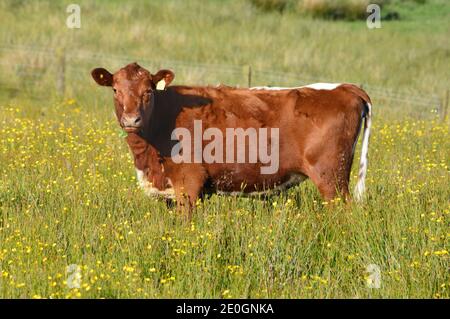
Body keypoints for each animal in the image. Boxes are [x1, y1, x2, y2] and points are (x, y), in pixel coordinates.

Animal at [91, 62, 372, 216]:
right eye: (115, 89)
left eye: (148, 91)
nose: (131, 120)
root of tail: (344, 87)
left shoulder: (188, 184)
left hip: (331, 179)